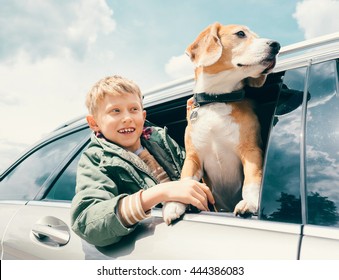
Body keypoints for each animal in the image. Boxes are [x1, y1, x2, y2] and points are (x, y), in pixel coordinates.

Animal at [163, 21, 280, 223]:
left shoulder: (251, 151)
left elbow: (252, 179)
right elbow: (185, 179)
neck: (216, 100)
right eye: (240, 33)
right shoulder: (193, 157)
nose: (276, 45)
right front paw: (174, 205)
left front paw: (250, 203)